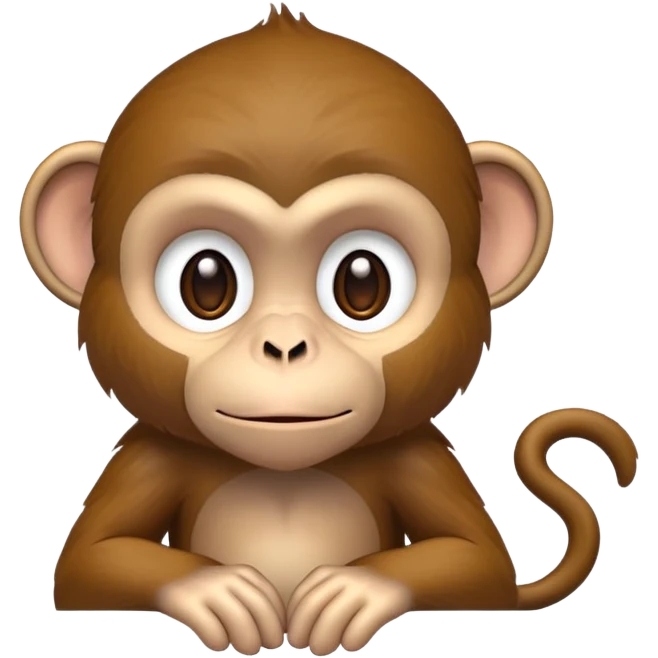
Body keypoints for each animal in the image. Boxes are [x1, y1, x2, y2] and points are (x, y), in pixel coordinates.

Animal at [22, 4, 639, 656]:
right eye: (206, 283)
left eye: (362, 283)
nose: (285, 346)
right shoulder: (150, 456)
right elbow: (85, 569)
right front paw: (214, 591)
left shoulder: (417, 455)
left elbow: (481, 570)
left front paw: (357, 591)